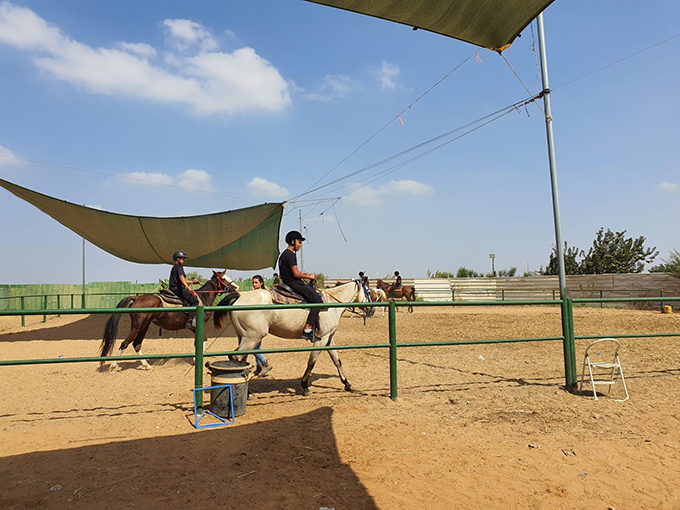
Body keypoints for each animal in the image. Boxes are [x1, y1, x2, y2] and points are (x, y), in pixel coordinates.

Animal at [98, 270, 236, 370]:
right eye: (223, 278)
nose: (235, 287)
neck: (202, 298)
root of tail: (136, 298)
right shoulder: (195, 326)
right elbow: (203, 340)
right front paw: (195, 360)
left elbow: (198, 342)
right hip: (137, 327)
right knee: (124, 343)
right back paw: (113, 365)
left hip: (144, 327)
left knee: (136, 344)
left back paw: (146, 365)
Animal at [215, 278, 370, 394]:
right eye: (368, 291)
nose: (372, 310)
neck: (331, 305)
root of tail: (241, 296)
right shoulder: (321, 339)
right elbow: (311, 362)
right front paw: (305, 386)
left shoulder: (329, 338)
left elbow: (337, 361)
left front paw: (347, 384)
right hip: (252, 338)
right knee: (236, 358)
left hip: (245, 338)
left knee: (241, 360)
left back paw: (247, 392)